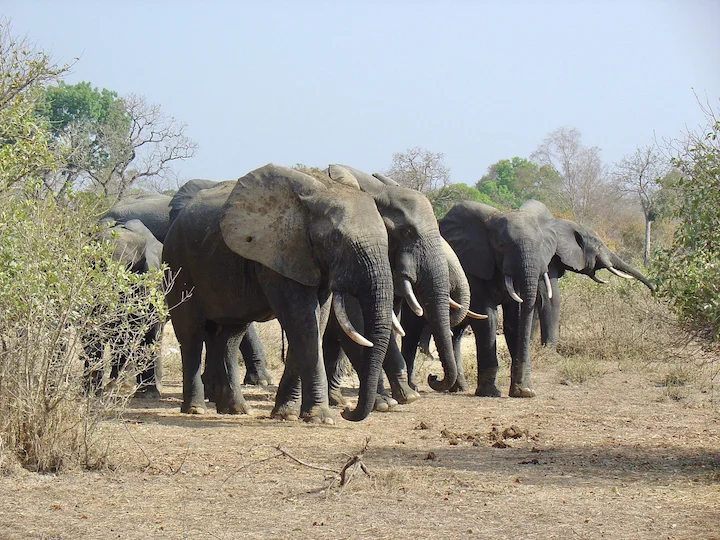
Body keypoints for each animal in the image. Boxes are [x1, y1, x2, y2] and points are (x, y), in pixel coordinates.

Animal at [162, 164, 394, 423]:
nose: (347, 411)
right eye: (336, 239)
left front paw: (287, 414)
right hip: (178, 267)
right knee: (191, 335)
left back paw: (236, 409)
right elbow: (302, 321)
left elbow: (316, 321)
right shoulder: (277, 255)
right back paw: (196, 409)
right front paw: (320, 418)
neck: (318, 193)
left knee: (230, 337)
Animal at [440, 199, 558, 398]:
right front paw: (490, 392)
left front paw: (523, 391)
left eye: (541, 243)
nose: (524, 389)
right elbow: (488, 318)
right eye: (501, 245)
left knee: (457, 332)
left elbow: (515, 320)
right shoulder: (473, 265)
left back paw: (458, 387)